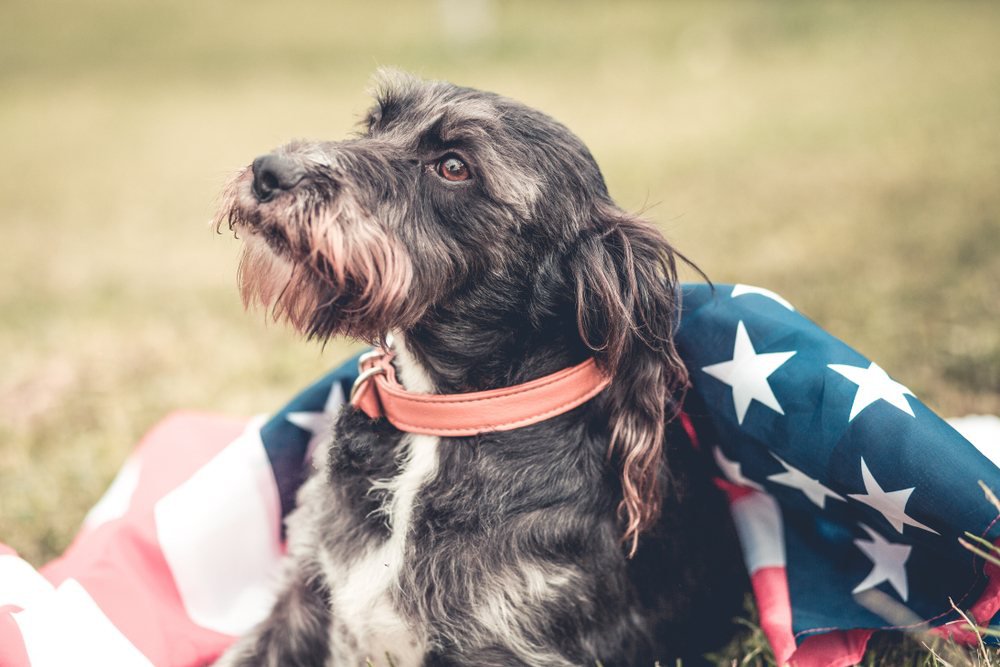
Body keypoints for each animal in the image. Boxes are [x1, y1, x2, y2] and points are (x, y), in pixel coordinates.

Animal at [215, 72, 748, 667]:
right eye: (376, 123)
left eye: (453, 166)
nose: (269, 171)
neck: (443, 416)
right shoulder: (302, 592)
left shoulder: (498, 644)